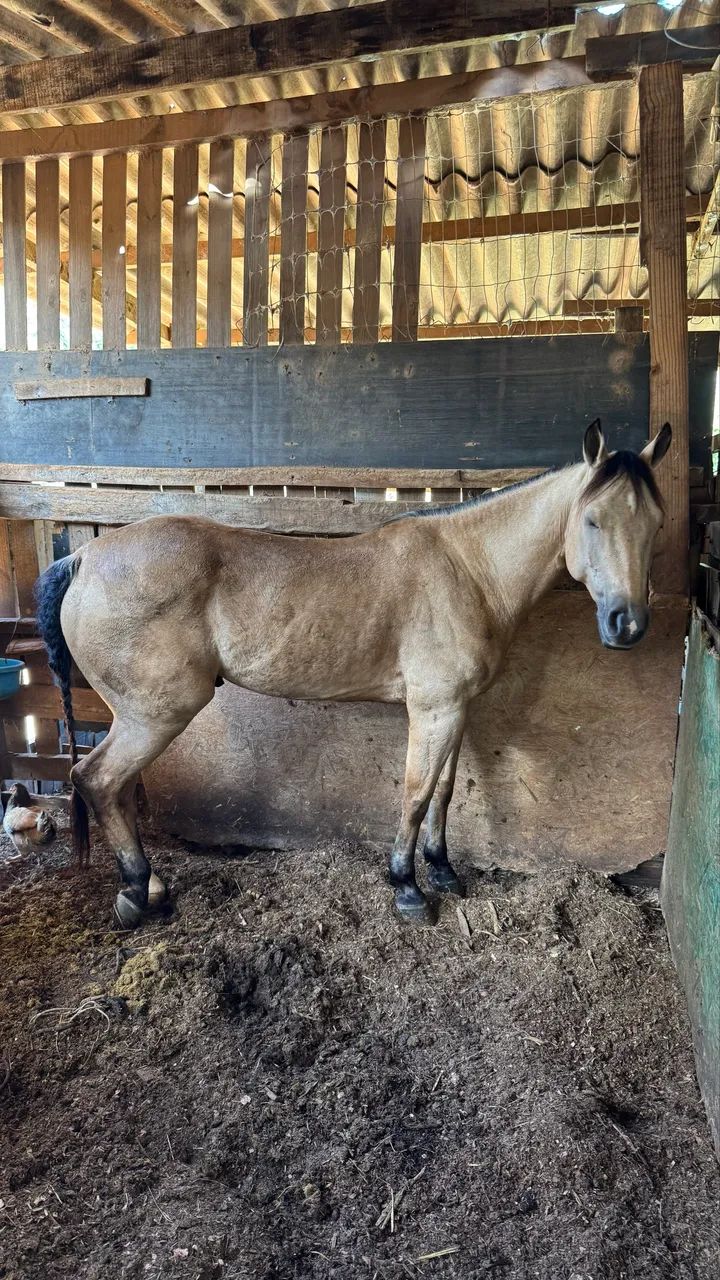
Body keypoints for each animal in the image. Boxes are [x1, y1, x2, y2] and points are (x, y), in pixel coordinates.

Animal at [35, 419, 672, 928]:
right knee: (97, 780)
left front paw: (442, 872)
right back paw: (138, 894)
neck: (468, 569)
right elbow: (415, 794)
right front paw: (408, 889)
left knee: (113, 788)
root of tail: (84, 557)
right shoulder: (434, 709)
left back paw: (147, 888)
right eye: (592, 521)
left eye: (657, 524)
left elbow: (443, 792)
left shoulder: (456, 709)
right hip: (155, 714)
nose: (628, 624)